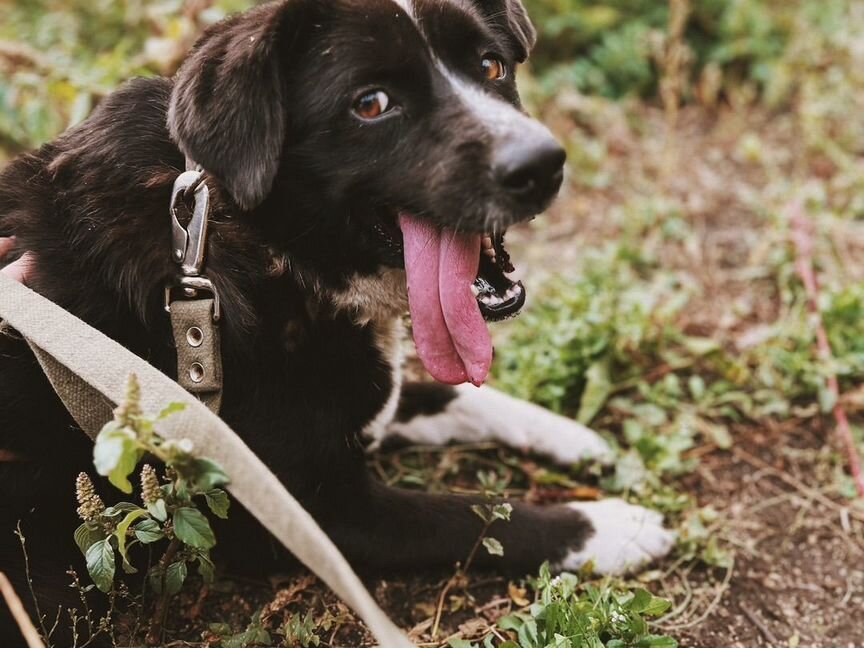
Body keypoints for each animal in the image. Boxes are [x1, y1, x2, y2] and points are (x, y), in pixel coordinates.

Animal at [0, 0, 676, 636]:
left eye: (491, 66)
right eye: (371, 104)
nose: (542, 164)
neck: (264, 248)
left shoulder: (362, 401)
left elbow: (451, 398)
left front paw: (576, 438)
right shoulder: (316, 511)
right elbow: (470, 518)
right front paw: (611, 527)